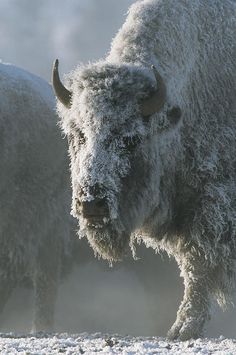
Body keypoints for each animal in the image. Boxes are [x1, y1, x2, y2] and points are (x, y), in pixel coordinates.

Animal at [52, 0, 235, 340]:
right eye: (78, 134)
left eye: (130, 138)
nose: (92, 203)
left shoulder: (212, 206)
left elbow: (199, 266)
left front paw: (184, 328)